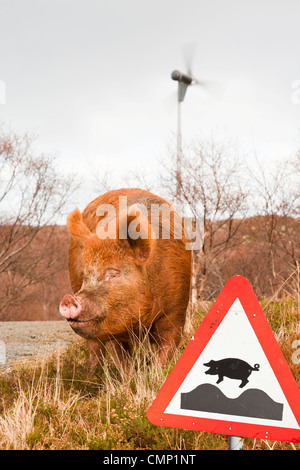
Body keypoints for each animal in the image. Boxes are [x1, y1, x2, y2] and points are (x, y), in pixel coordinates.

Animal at [58, 189, 192, 370]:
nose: (69, 299)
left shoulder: (175, 312)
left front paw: (155, 372)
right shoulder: (114, 327)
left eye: (113, 273)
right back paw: (92, 371)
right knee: (94, 346)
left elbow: (166, 349)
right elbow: (122, 360)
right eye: (86, 275)